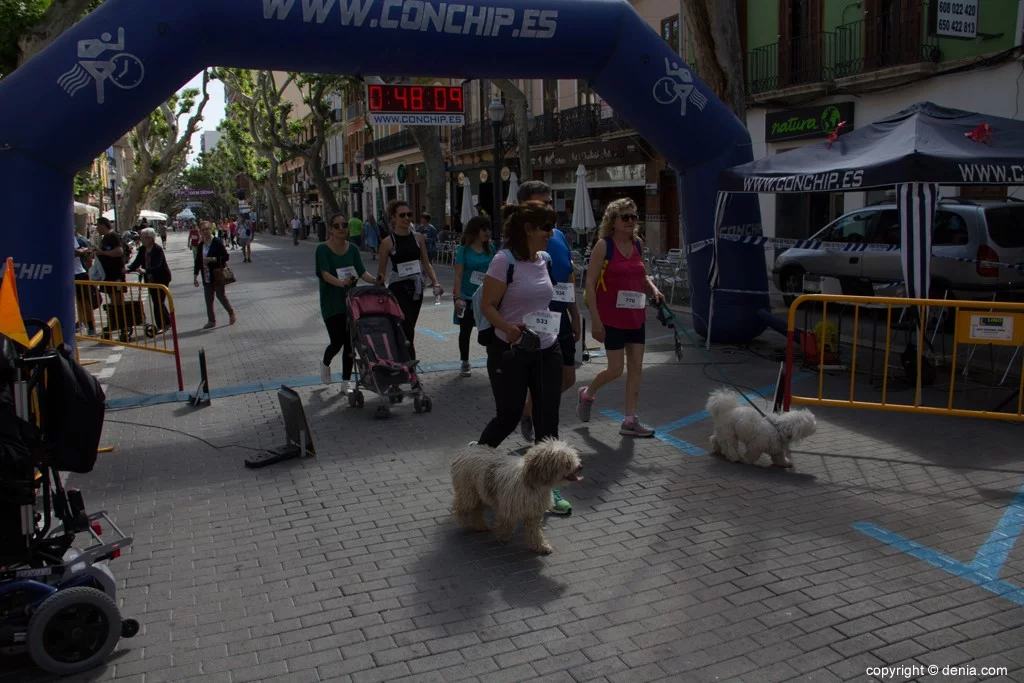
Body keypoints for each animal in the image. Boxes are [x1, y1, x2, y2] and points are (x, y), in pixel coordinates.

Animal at [450, 438, 585, 557]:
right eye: (567, 462)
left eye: (573, 457)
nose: (580, 466)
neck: (531, 482)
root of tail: (468, 450)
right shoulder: (508, 508)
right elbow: (506, 523)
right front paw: (502, 536)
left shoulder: (533, 512)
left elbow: (535, 531)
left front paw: (540, 545)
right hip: (468, 492)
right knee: (459, 506)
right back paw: (462, 521)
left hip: (481, 492)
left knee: (477, 510)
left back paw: (480, 526)